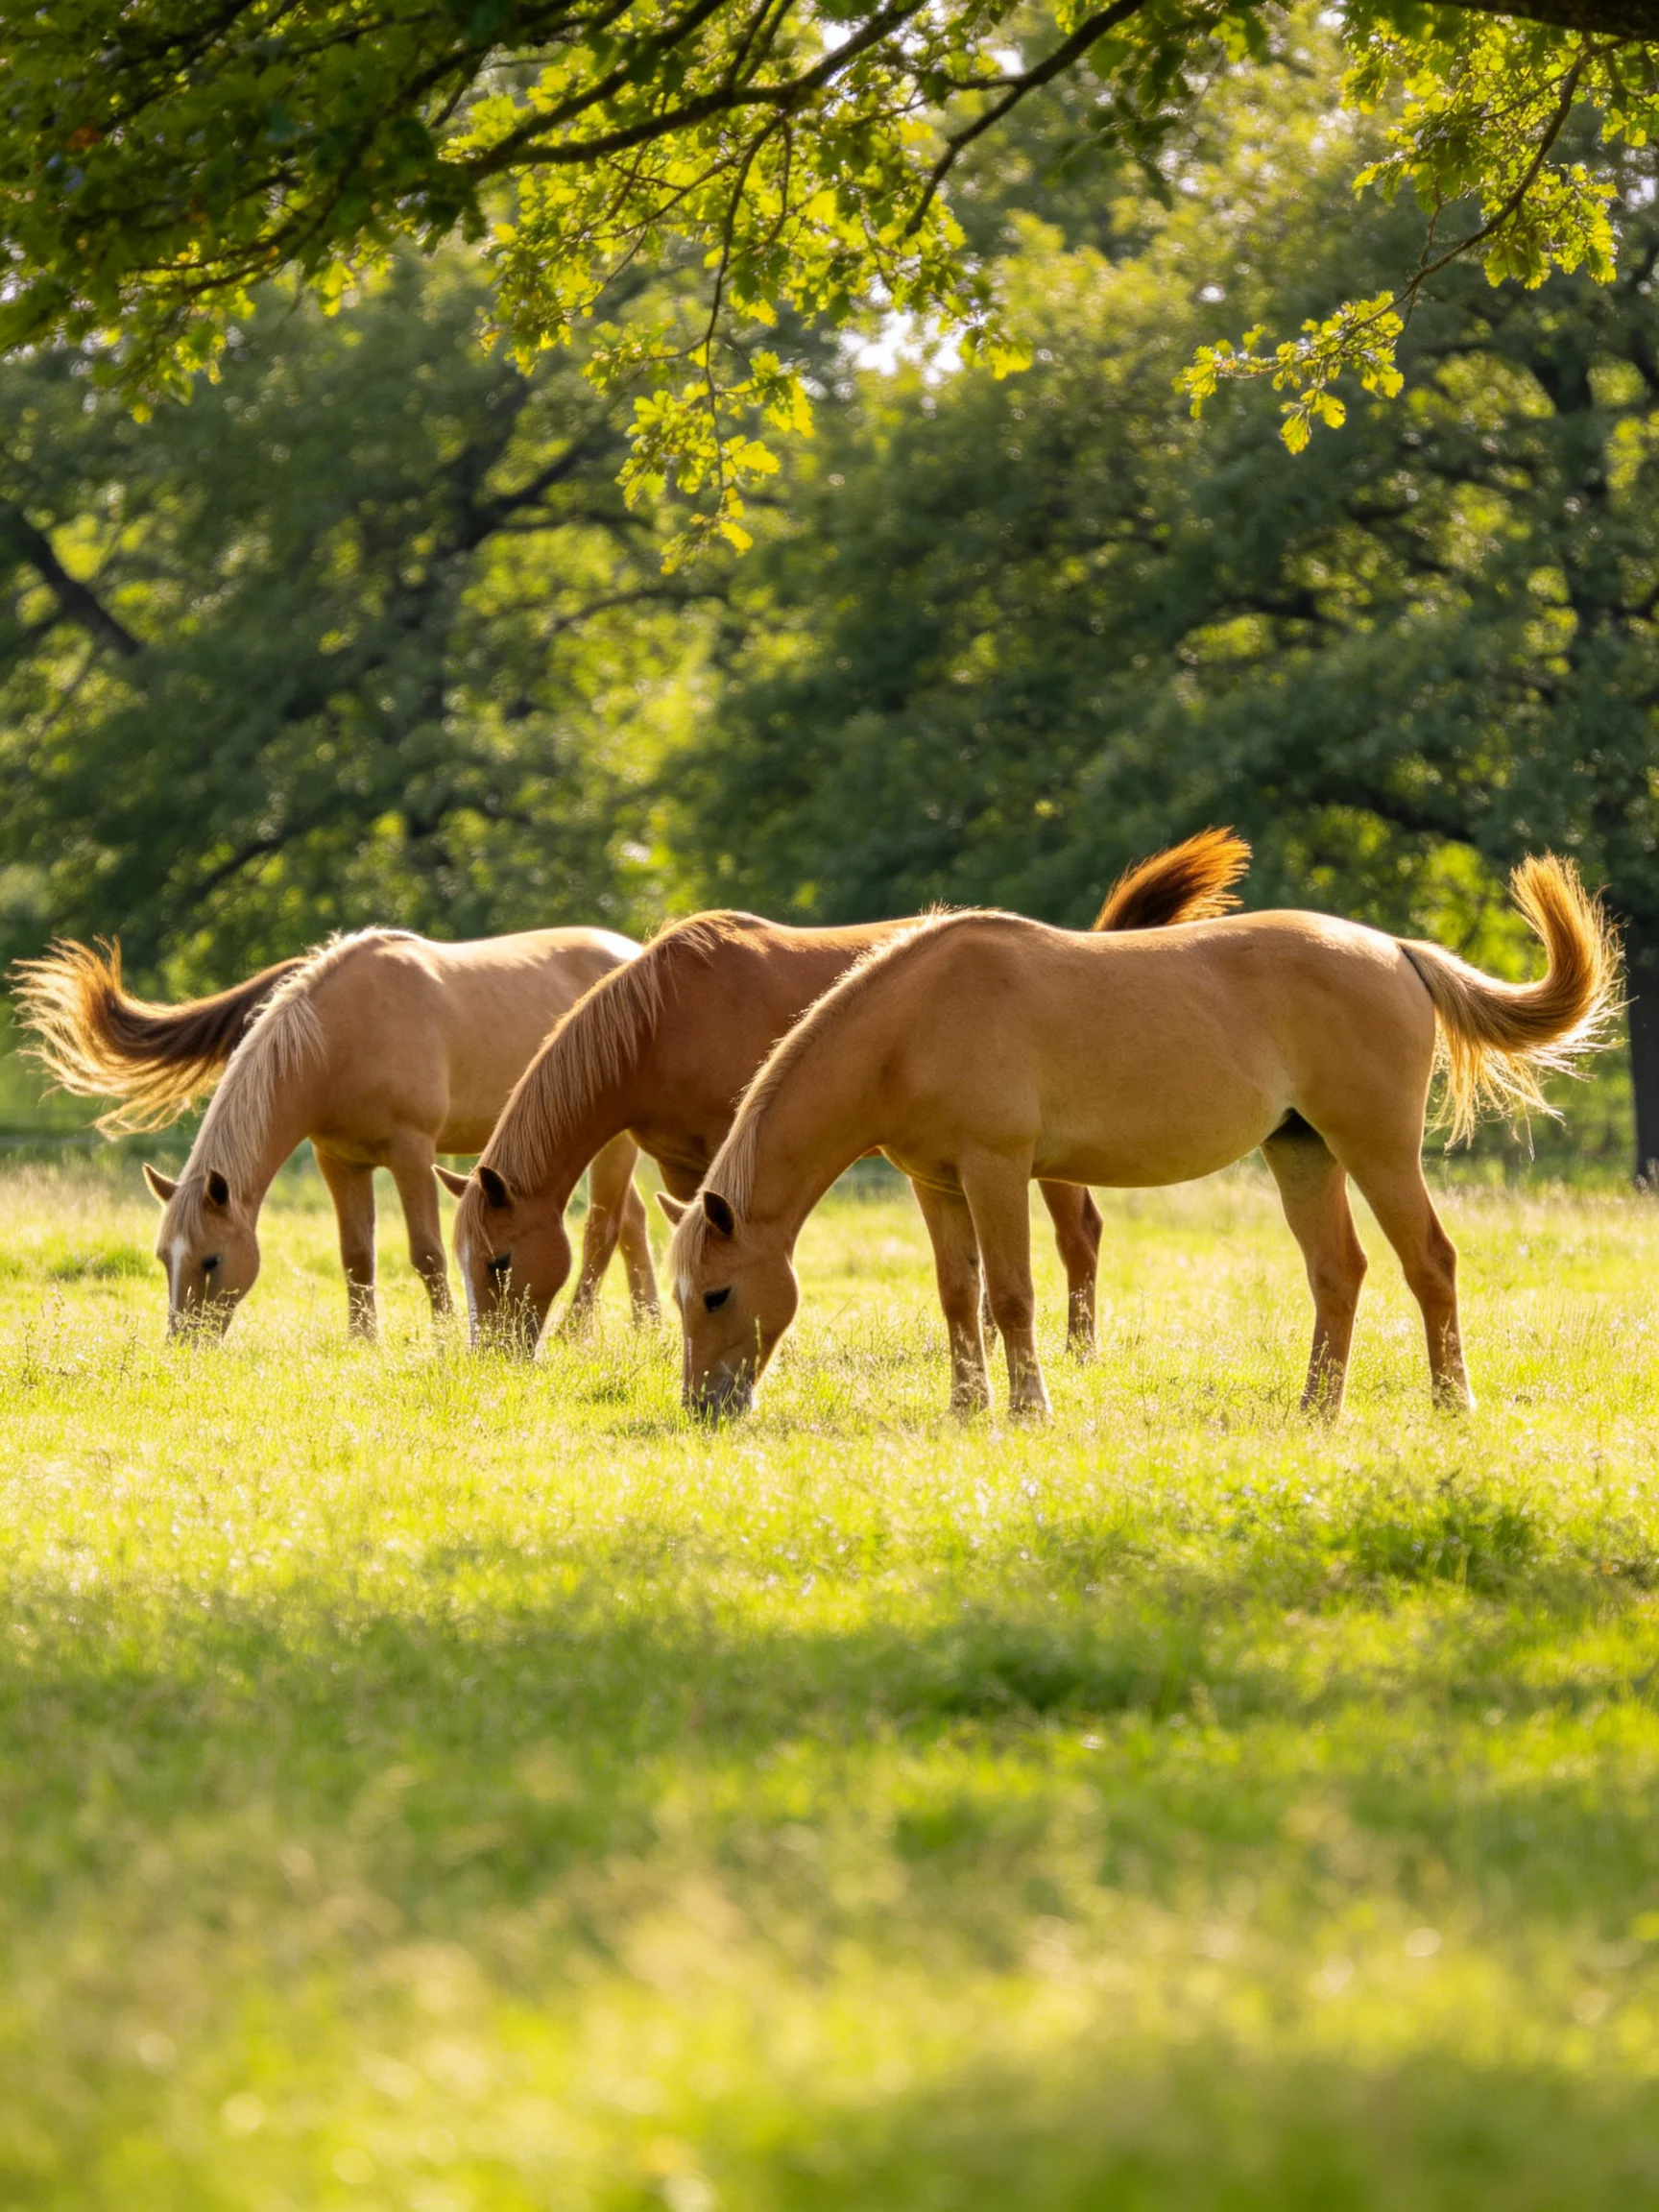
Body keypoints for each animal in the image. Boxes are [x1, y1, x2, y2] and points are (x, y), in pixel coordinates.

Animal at [14, 929, 660, 1338]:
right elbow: (356, 1256)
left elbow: (426, 1253)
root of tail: (634, 951)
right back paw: (649, 1324)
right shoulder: (339, 1159)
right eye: (162, 1259)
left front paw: (445, 1336)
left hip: (610, 1143)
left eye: (211, 1259)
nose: (184, 1344)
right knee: (630, 1223)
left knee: (603, 1228)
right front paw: (362, 1342)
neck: (339, 1035)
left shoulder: (411, 1150)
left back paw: (578, 1332)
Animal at [443, 831, 1251, 1352]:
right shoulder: (683, 1162)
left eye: (500, 1261)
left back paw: (1077, 1350)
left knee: (1079, 1236)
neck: (664, 1019)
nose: (494, 1356)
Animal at [666, 856, 1617, 1422]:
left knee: (1430, 1263)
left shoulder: (995, 1171)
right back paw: (1316, 1409)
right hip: (1302, 1152)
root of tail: (1394, 950)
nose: (703, 1408)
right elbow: (957, 1295)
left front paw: (1029, 1409)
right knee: (1337, 1273)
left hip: (1376, 1150)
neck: (913, 1024)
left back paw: (1452, 1403)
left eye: (716, 1294)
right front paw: (966, 1408)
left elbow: (1012, 1295)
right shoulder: (935, 1183)